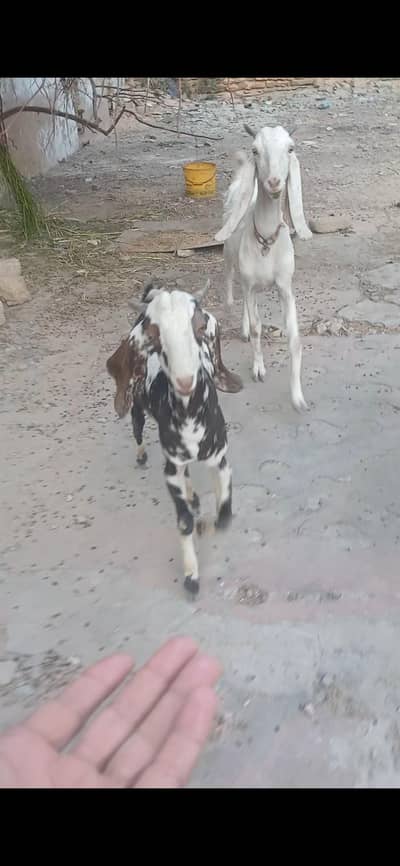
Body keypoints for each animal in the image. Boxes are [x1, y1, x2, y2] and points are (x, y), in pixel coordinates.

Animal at [106, 280, 243, 596]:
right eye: (153, 336)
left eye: (200, 326)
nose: (184, 381)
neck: (191, 416)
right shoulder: (171, 468)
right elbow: (184, 523)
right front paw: (191, 576)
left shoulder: (220, 458)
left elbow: (225, 517)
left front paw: (208, 525)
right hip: (138, 412)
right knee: (138, 431)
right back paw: (143, 456)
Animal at [215, 124, 312, 412]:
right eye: (255, 150)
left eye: (290, 148)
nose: (274, 183)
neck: (266, 240)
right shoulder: (249, 284)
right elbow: (259, 327)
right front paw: (258, 369)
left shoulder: (285, 287)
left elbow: (294, 337)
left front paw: (298, 397)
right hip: (229, 253)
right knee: (231, 279)